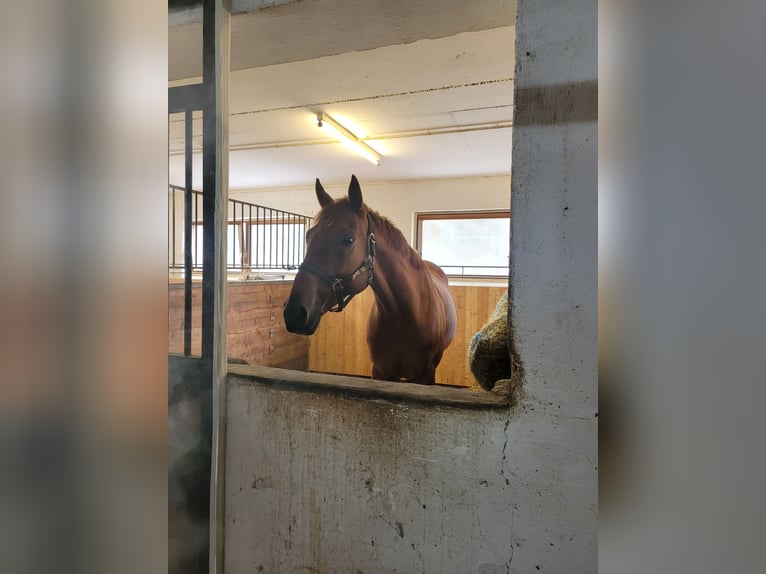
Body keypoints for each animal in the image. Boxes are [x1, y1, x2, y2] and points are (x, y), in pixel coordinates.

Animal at [284, 173, 460, 384]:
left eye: (348, 239)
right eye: (309, 236)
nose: (294, 313)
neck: (405, 315)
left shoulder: (425, 376)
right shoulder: (381, 372)